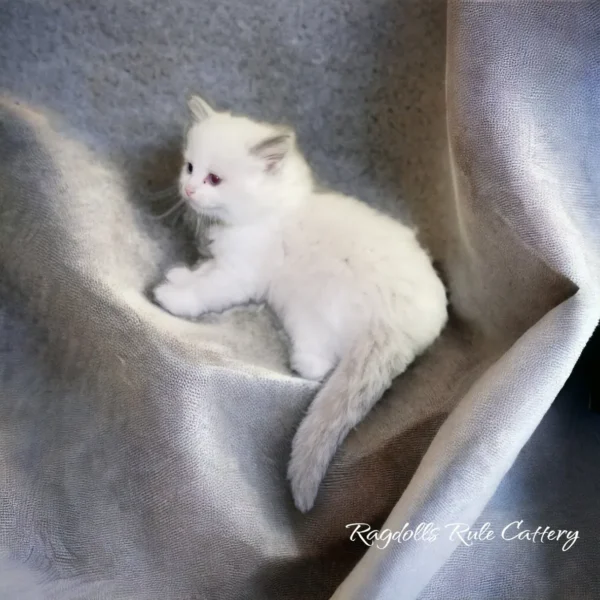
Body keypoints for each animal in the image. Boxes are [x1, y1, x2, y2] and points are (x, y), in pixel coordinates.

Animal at [152, 96, 448, 512]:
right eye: (190, 167)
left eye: (214, 179)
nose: (189, 189)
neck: (271, 213)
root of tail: (406, 327)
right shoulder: (224, 261)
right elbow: (203, 271)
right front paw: (181, 276)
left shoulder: (239, 275)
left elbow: (206, 291)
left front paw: (173, 296)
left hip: (316, 311)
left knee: (319, 368)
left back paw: (301, 360)